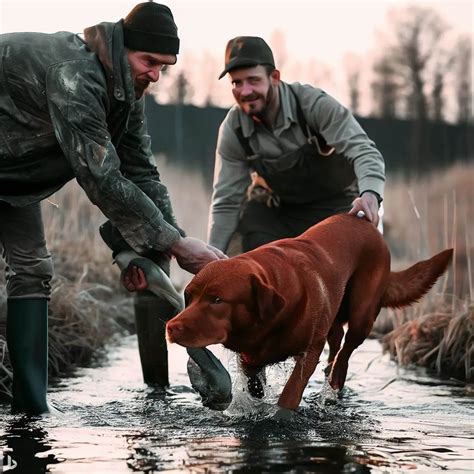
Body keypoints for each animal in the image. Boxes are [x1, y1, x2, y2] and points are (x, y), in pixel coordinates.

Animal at [166, 213, 452, 412]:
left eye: (217, 300)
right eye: (189, 297)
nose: (171, 327)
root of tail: (364, 222)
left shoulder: (310, 350)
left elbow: (291, 392)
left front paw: (281, 414)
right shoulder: (249, 355)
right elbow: (255, 386)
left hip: (363, 312)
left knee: (347, 347)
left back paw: (335, 379)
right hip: (335, 310)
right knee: (336, 339)